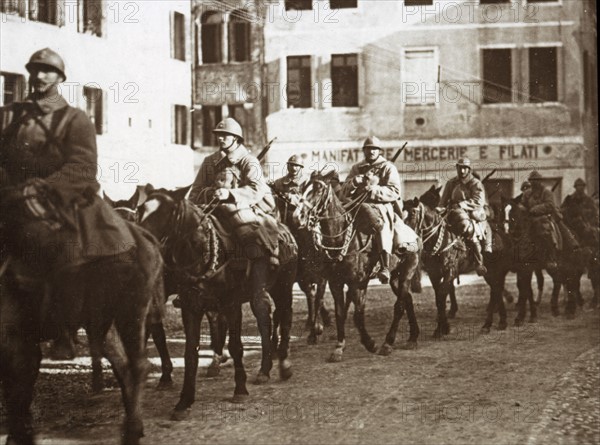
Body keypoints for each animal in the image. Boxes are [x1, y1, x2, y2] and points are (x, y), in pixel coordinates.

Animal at [0, 178, 164, 444]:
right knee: (122, 364)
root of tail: (144, 239)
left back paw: (131, 430)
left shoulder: (14, 341)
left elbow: (18, 393)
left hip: (131, 311)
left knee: (137, 365)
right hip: (106, 324)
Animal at [135, 188, 296, 420]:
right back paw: (264, 370)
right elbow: (190, 353)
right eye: (139, 210)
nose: (140, 248)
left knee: (282, 316)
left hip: (283, 287)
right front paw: (184, 401)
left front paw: (240, 390)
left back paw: (282, 364)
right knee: (266, 318)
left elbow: (236, 346)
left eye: (169, 213)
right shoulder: (190, 308)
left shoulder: (231, 305)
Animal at [292, 170, 420, 360]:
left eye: (319, 189)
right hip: (395, 277)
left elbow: (358, 316)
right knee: (408, 299)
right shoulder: (335, 283)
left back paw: (388, 343)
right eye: (303, 187)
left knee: (399, 306)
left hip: (407, 271)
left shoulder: (357, 283)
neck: (341, 238)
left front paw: (370, 343)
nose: (297, 217)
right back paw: (413, 337)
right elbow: (340, 313)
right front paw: (339, 347)